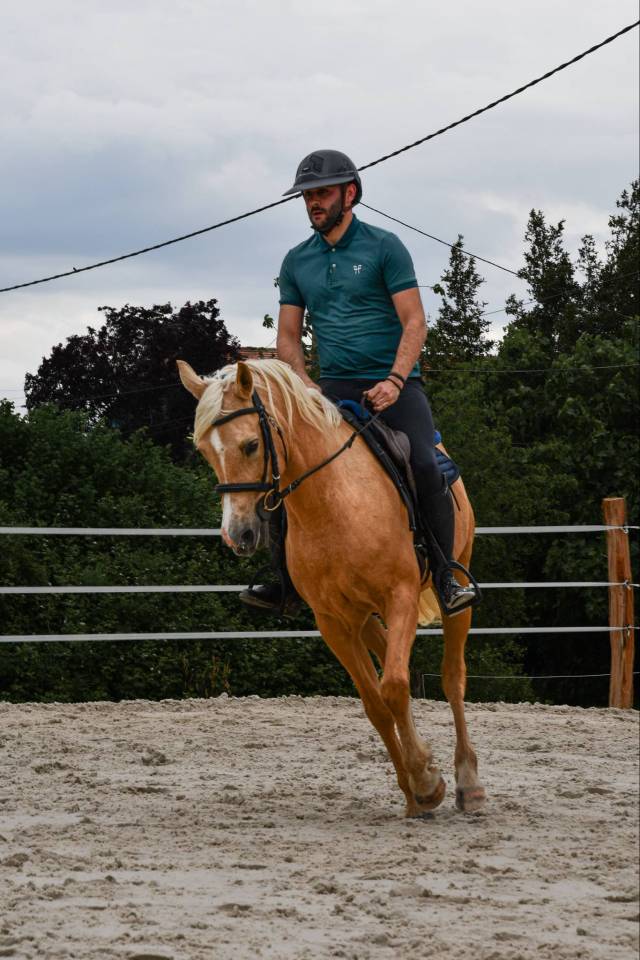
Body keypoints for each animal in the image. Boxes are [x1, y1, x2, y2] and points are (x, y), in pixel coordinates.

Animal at [178, 357, 486, 818]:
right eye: (204, 451)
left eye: (250, 445)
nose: (238, 535)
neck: (333, 502)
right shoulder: (332, 621)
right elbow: (376, 703)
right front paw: (417, 787)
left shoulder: (400, 598)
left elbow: (394, 688)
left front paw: (427, 780)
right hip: (361, 616)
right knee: (391, 662)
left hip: (455, 588)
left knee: (452, 678)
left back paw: (469, 783)